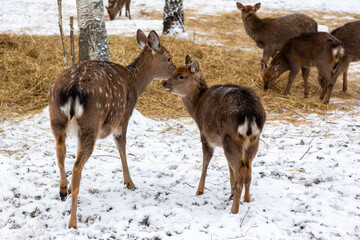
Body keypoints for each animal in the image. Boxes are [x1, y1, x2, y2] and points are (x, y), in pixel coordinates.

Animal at [48, 29, 176, 228]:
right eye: (169, 58)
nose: (177, 71)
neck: (135, 81)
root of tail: (73, 88)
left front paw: (67, 189)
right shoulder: (124, 115)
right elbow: (121, 145)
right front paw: (130, 183)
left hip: (57, 119)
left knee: (60, 154)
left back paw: (62, 190)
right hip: (91, 122)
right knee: (76, 167)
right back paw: (73, 222)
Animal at [162, 55, 266, 214]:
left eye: (181, 76)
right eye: (173, 71)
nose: (164, 83)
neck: (196, 107)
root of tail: (250, 115)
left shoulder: (205, 135)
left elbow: (206, 161)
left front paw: (199, 191)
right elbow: (229, 167)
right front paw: (230, 192)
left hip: (231, 137)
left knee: (241, 172)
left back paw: (233, 211)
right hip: (253, 141)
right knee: (247, 172)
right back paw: (246, 200)